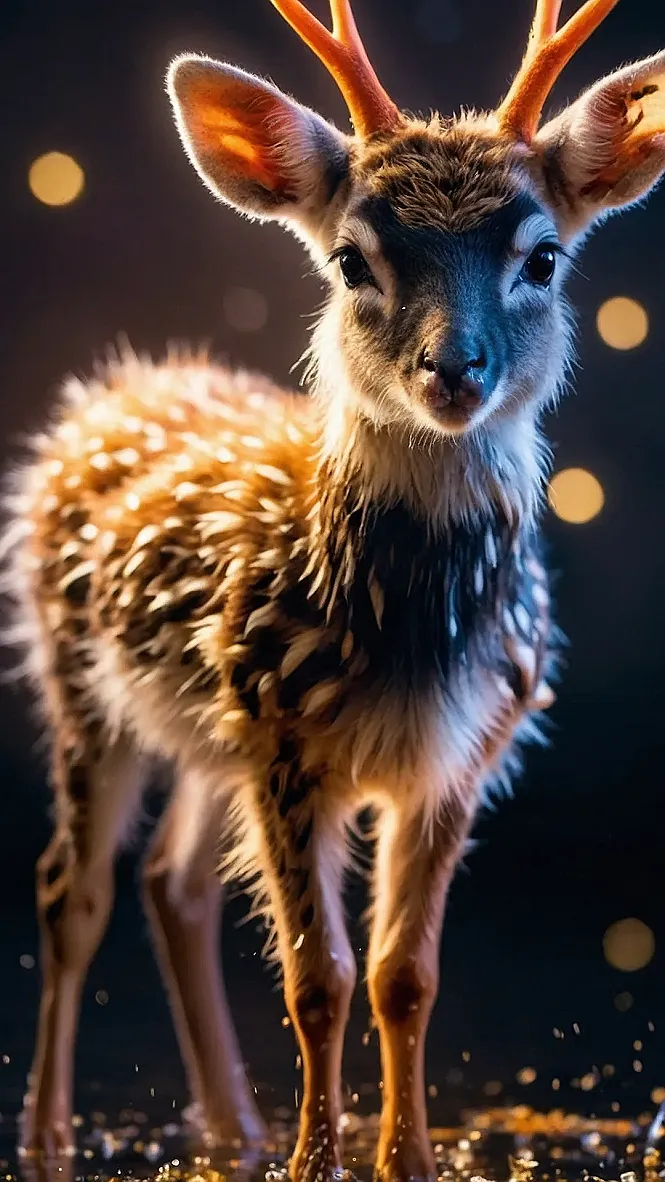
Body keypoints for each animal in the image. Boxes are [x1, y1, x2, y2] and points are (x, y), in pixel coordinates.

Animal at [3, 0, 664, 1177]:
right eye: (355, 260)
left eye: (541, 256)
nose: (453, 370)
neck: (402, 633)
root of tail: (112, 386)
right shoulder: (282, 741)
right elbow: (320, 980)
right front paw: (320, 1161)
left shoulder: (462, 750)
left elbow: (404, 974)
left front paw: (406, 1158)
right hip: (81, 686)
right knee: (68, 893)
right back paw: (47, 1138)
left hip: (204, 727)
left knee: (172, 884)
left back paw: (234, 1129)